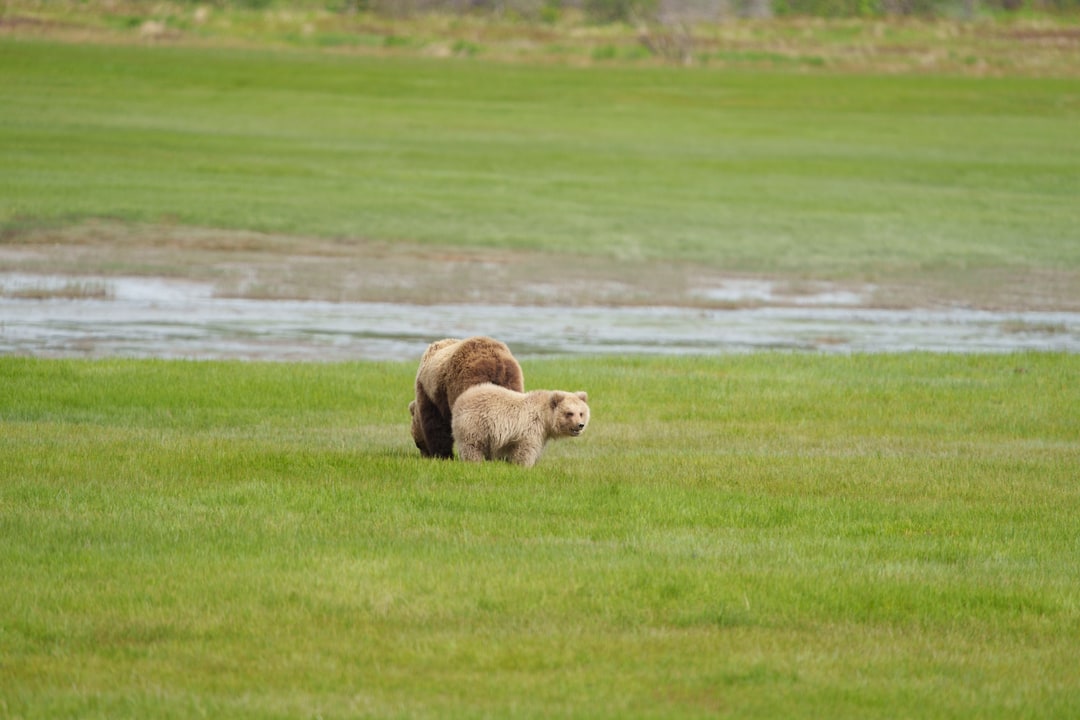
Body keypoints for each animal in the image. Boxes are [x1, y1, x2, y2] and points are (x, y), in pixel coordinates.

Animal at [451, 383, 590, 468]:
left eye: (581, 413)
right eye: (569, 413)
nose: (580, 425)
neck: (545, 420)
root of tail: (460, 399)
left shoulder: (542, 434)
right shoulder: (531, 428)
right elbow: (526, 450)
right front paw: (524, 466)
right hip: (476, 424)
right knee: (472, 446)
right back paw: (475, 462)